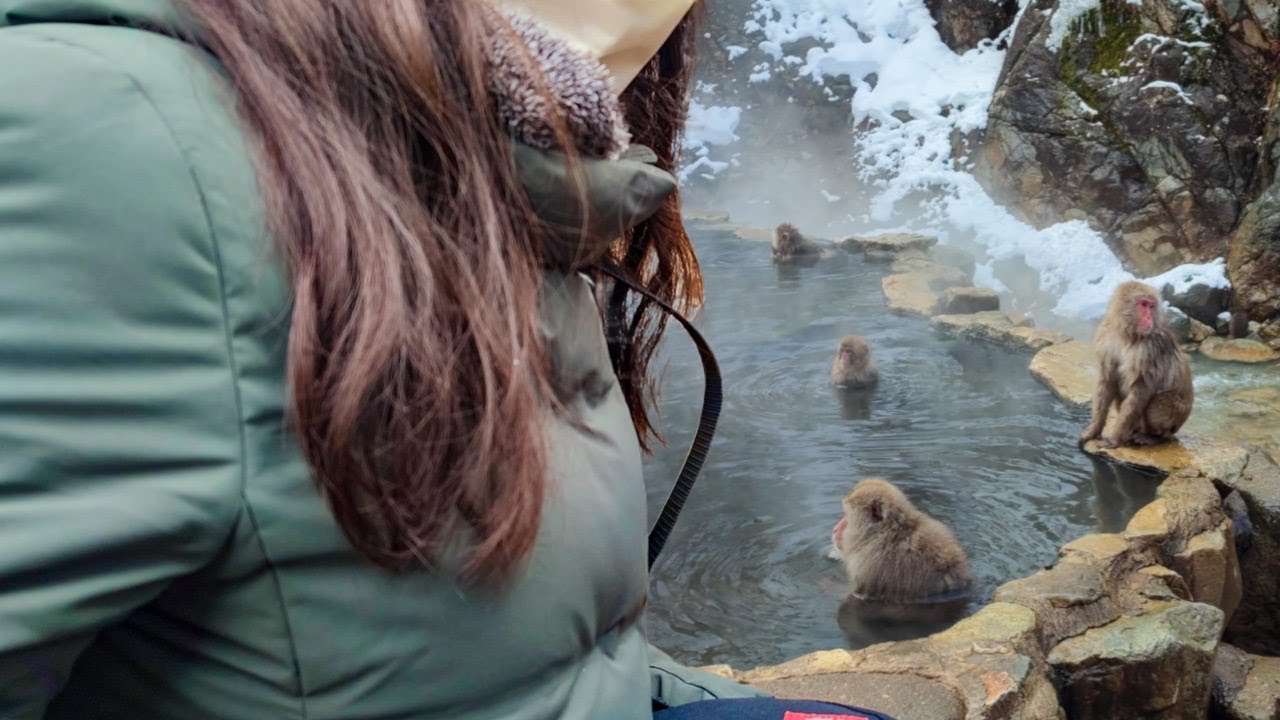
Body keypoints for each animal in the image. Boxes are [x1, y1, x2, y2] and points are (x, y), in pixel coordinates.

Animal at [1079, 281, 1194, 449]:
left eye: (1151, 306)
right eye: (1143, 304)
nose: (1149, 316)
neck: (1127, 335)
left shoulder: (1151, 350)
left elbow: (1141, 390)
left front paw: (1115, 439)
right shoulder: (1105, 336)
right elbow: (1107, 380)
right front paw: (1093, 430)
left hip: (1176, 419)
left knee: (1161, 400)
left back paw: (1154, 437)